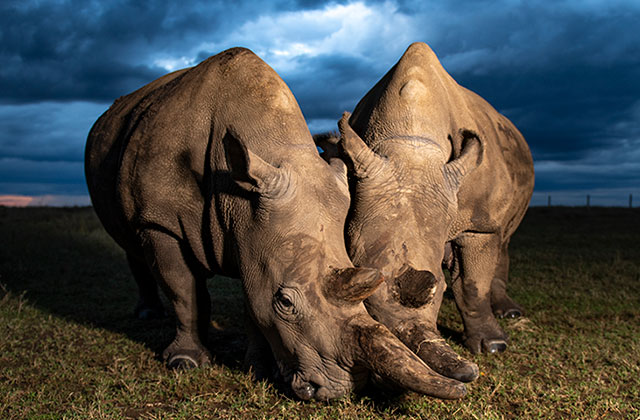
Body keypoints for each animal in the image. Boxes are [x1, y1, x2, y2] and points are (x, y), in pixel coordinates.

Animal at [85, 47, 468, 400]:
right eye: (285, 302)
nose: (334, 392)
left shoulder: (253, 231)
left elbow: (253, 302)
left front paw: (258, 368)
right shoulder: (161, 222)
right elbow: (183, 291)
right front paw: (186, 362)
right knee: (133, 245)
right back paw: (149, 315)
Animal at [319, 42, 534, 361]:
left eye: (439, 289)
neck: (412, 143)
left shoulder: (476, 223)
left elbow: (472, 284)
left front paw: (493, 346)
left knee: (503, 237)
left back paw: (509, 313)